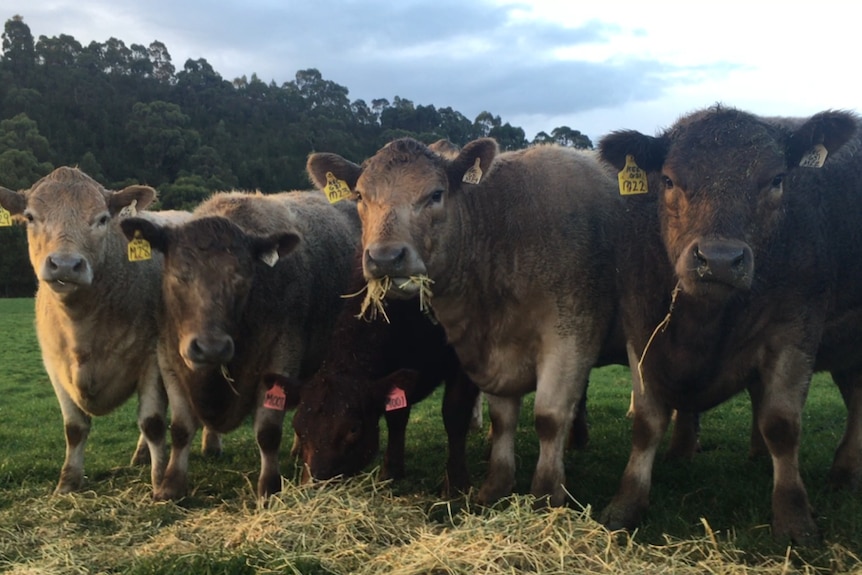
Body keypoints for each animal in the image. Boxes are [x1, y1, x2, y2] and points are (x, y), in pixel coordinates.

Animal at [0, 166, 219, 496]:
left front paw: (159, 480)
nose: (66, 264)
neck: (83, 328)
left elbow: (152, 422)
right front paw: (67, 482)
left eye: (102, 218)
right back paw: (141, 455)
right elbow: (74, 428)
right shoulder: (54, 365)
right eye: (30, 217)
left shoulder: (151, 359)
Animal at [120, 190, 358, 500]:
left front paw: (269, 486)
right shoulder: (169, 359)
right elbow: (181, 428)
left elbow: (268, 432)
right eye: (178, 276)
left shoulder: (281, 356)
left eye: (243, 280)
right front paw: (171, 485)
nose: (211, 347)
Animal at [286, 254, 482, 498]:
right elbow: (396, 417)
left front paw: (456, 485)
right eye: (297, 426)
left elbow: (454, 415)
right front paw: (390, 472)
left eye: (353, 429)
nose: (311, 487)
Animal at [310, 140, 628, 508]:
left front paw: (544, 496)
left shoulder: (570, 335)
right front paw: (493, 486)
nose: (385, 258)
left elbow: (544, 417)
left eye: (436, 194)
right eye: (360, 196)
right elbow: (499, 417)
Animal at [600, 104, 862, 544]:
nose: (720, 260)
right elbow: (647, 423)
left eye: (776, 180)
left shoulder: (795, 330)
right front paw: (625, 505)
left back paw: (842, 473)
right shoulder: (641, 329)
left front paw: (794, 518)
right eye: (668, 179)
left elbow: (782, 424)